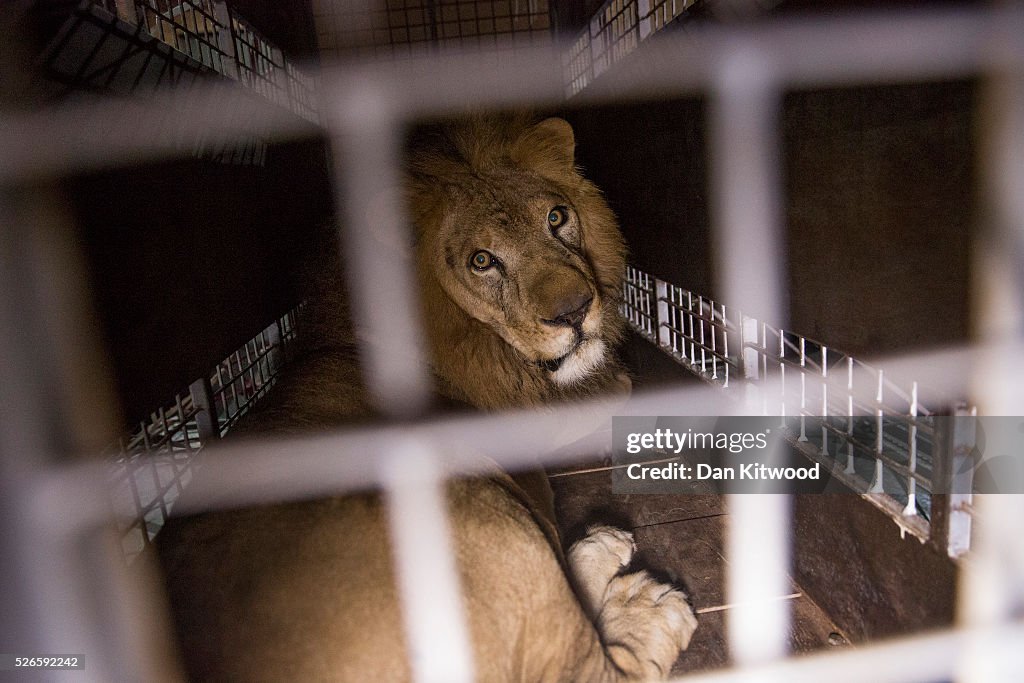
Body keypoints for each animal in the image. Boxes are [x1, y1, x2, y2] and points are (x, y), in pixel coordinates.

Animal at [155, 114, 700, 679]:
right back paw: (647, 603)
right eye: (482, 261)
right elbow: (616, 388)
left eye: (556, 218)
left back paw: (601, 543)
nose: (574, 311)